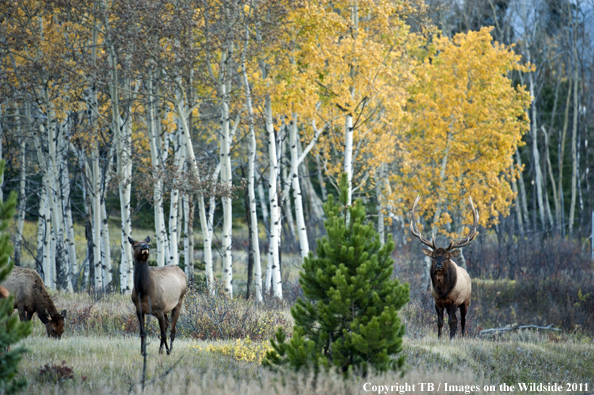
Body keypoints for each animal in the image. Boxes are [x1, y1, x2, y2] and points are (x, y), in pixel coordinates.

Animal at [410, 196, 478, 338]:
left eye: (447, 257)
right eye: (434, 256)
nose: (439, 265)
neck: (443, 291)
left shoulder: (454, 301)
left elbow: (452, 321)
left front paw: (451, 338)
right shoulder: (437, 302)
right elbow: (440, 322)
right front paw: (440, 338)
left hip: (466, 301)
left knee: (462, 320)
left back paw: (462, 336)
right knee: (457, 320)